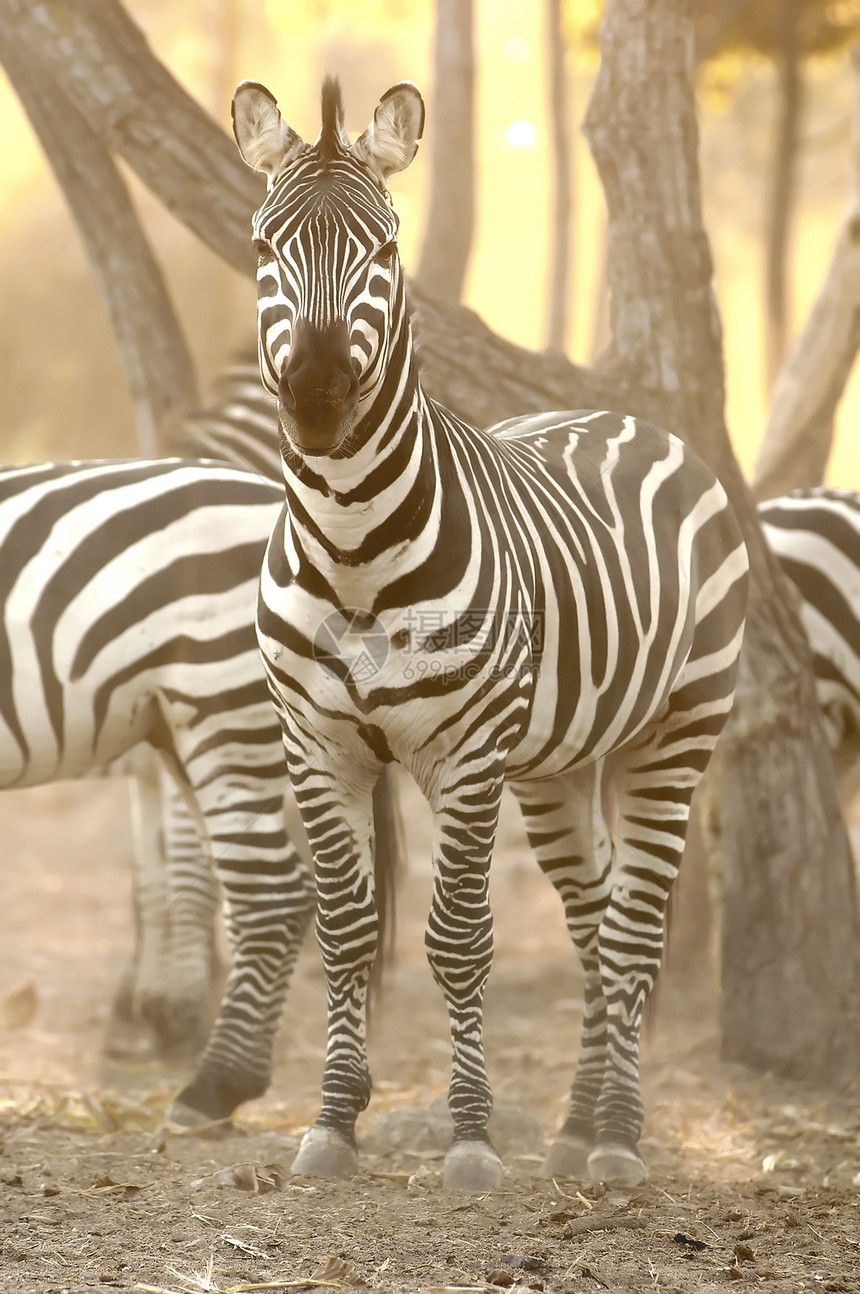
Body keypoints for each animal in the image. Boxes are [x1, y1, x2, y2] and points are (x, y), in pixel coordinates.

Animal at [231, 78, 750, 1190]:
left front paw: (470, 1137)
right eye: (261, 246)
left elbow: (458, 938)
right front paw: (332, 1125)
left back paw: (617, 1138)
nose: (318, 401)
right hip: (557, 761)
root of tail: (627, 417)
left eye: (385, 249)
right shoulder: (315, 743)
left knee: (634, 928)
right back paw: (575, 1125)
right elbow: (347, 932)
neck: (350, 543)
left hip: (676, 729)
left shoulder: (466, 753)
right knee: (594, 919)